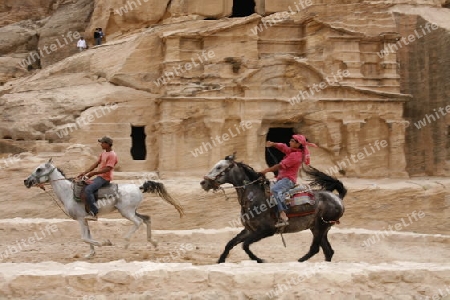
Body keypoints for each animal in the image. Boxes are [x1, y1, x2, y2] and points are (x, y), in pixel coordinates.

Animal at [22, 158, 185, 258]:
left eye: (39, 169)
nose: (26, 181)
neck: (68, 192)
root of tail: (139, 187)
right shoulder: (85, 220)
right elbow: (88, 237)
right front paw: (91, 254)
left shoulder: (81, 219)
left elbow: (84, 238)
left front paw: (105, 243)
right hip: (133, 211)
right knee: (147, 219)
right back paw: (153, 243)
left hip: (127, 212)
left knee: (138, 222)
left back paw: (126, 242)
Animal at [199, 155, 346, 262]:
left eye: (219, 167)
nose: (203, 182)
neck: (254, 197)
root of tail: (337, 198)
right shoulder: (249, 230)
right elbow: (230, 243)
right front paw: (220, 260)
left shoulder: (266, 231)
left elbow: (245, 245)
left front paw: (259, 260)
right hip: (318, 228)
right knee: (328, 251)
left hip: (320, 227)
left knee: (315, 249)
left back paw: (299, 261)